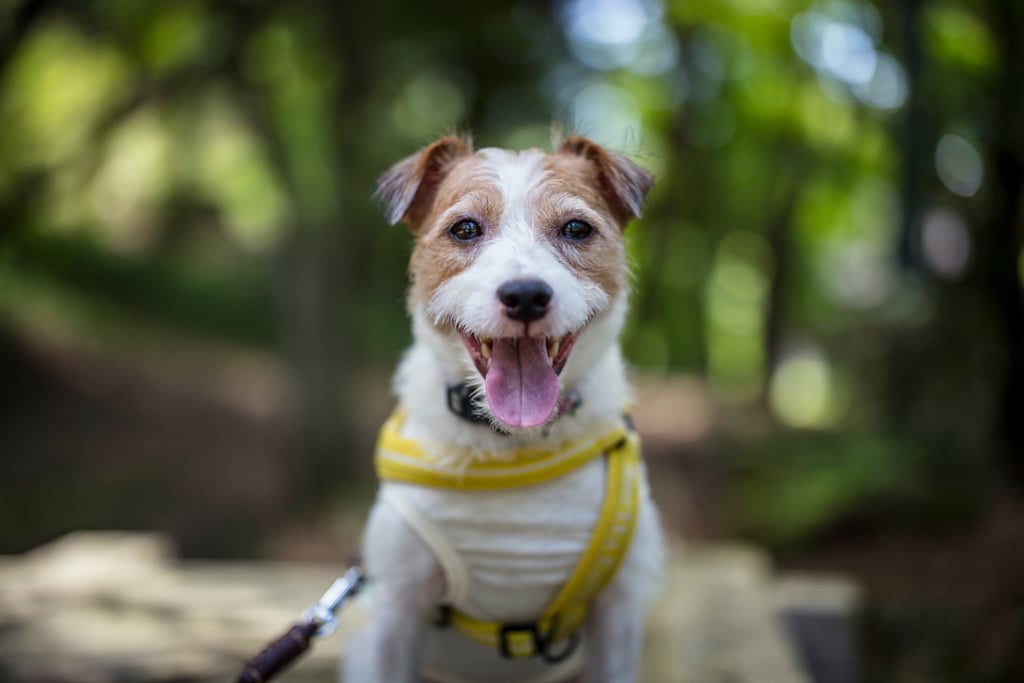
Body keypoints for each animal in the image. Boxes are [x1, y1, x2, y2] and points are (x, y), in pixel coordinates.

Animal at [344, 135, 663, 683]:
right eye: (465, 228)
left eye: (576, 228)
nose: (526, 294)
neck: (512, 443)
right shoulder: (397, 611)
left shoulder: (617, 612)